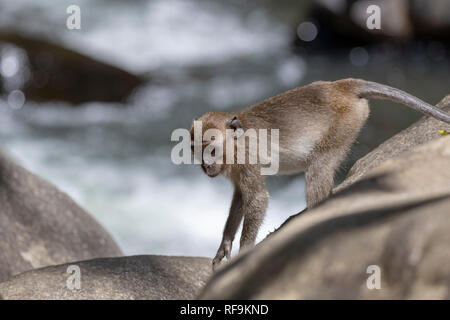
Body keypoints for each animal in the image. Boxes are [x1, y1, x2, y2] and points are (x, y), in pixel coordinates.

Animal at [189, 78, 450, 270]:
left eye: (211, 149)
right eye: (196, 149)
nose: (205, 165)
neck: (233, 144)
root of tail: (339, 86)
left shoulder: (246, 157)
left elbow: (257, 199)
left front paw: (244, 253)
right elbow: (241, 198)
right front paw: (224, 246)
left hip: (345, 123)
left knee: (319, 167)